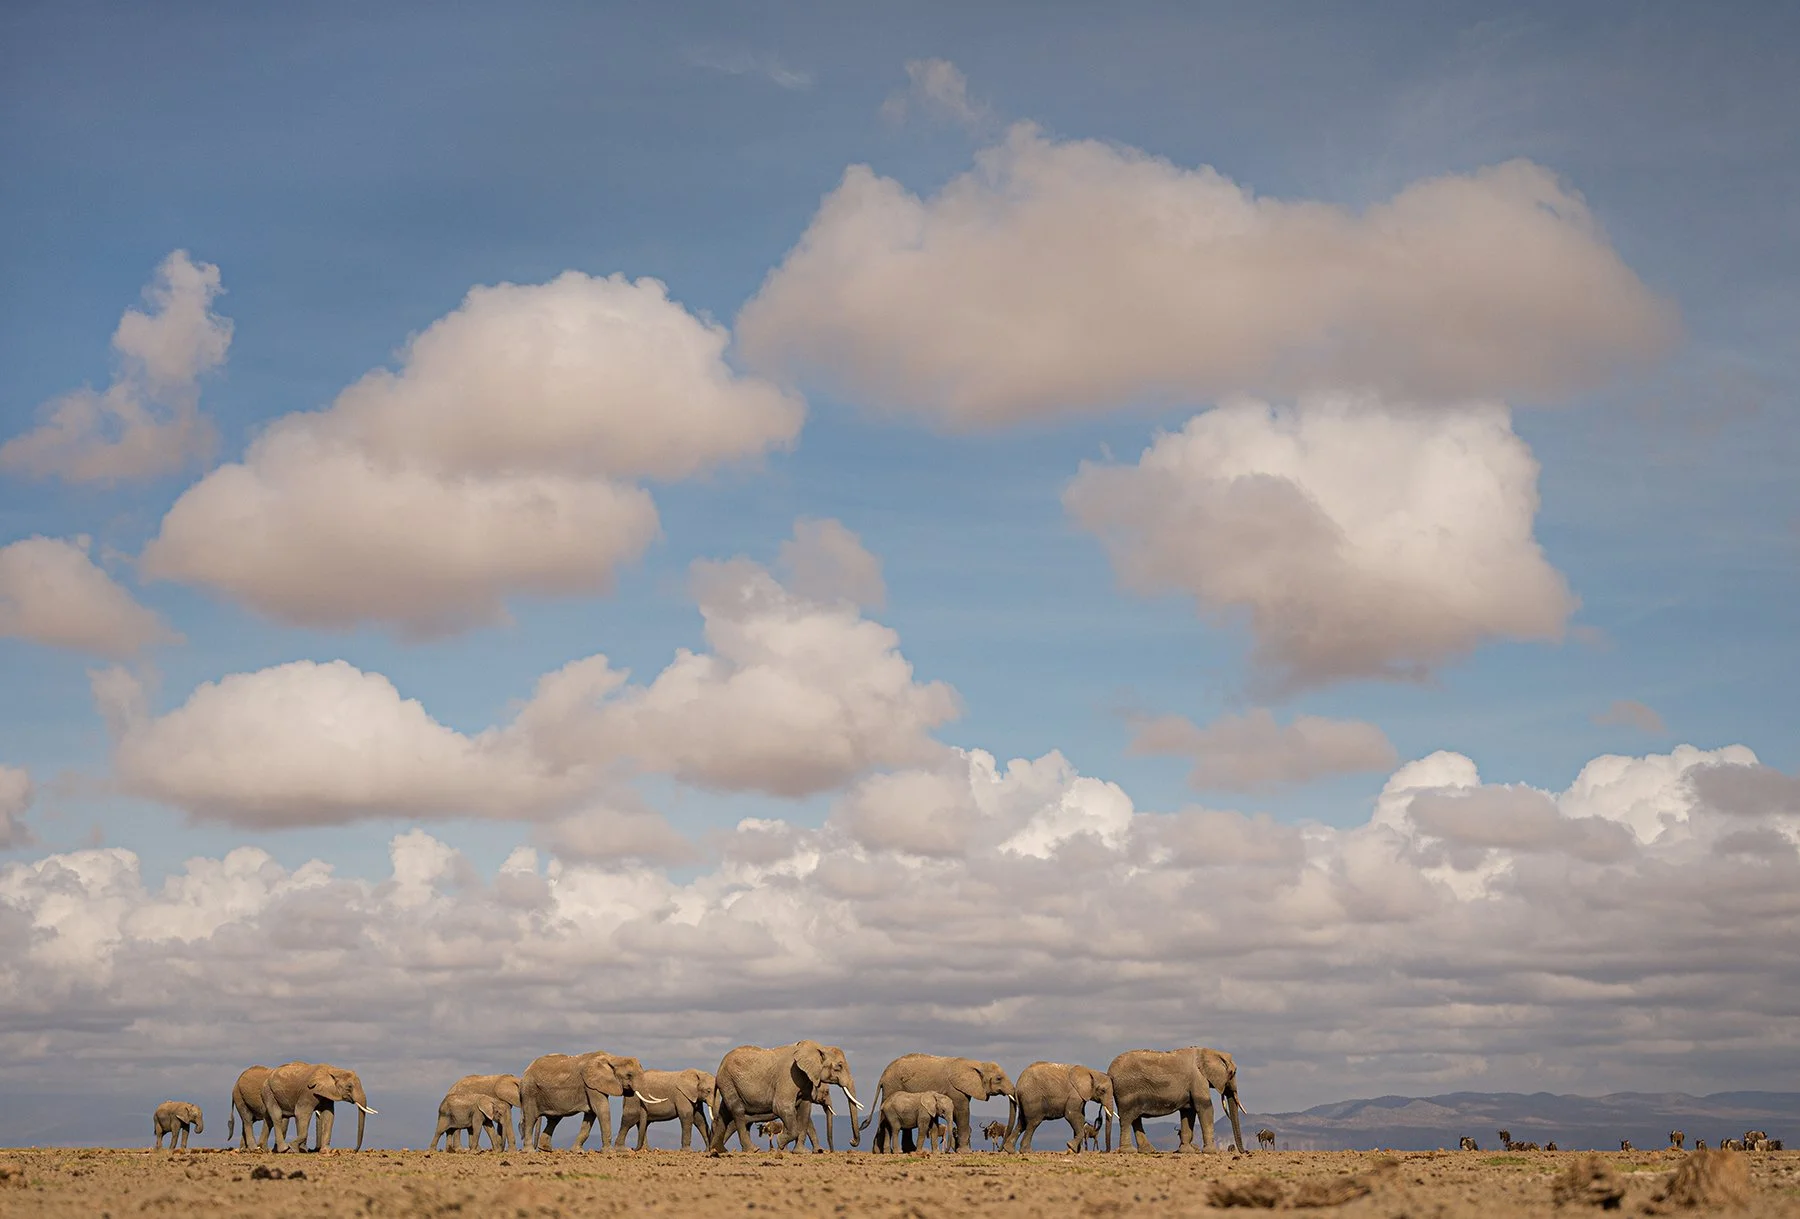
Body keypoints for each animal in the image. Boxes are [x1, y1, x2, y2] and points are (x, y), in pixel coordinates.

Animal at [519, 1051, 659, 1152]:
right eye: (629, 1075)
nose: (632, 1149)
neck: (613, 1058)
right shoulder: (591, 1085)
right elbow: (602, 1109)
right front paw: (609, 1152)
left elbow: (591, 1114)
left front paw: (578, 1152)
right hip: (529, 1090)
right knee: (530, 1118)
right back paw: (529, 1151)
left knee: (554, 1119)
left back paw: (546, 1150)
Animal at [707, 1040, 861, 1155]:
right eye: (839, 1066)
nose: (852, 1142)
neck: (818, 1047)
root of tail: (720, 1065)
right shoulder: (789, 1076)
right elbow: (782, 1107)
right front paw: (781, 1143)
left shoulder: (806, 1080)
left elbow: (804, 1110)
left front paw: (801, 1152)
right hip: (728, 1080)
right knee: (737, 1111)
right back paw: (753, 1150)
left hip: (728, 1083)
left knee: (724, 1114)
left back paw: (718, 1150)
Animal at [862, 1055, 1015, 1153]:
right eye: (998, 1078)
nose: (1001, 1150)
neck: (977, 1064)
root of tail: (883, 1075)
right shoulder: (955, 1089)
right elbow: (962, 1112)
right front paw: (965, 1152)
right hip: (892, 1086)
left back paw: (902, 1150)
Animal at [1107, 1046, 1244, 1154]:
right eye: (1233, 1073)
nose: (1244, 1152)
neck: (1207, 1051)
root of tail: (1110, 1072)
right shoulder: (1198, 1079)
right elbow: (1205, 1107)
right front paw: (1211, 1152)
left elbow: (1188, 1111)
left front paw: (1187, 1151)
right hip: (1126, 1091)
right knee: (1127, 1119)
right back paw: (1129, 1151)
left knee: (1135, 1119)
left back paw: (1148, 1151)